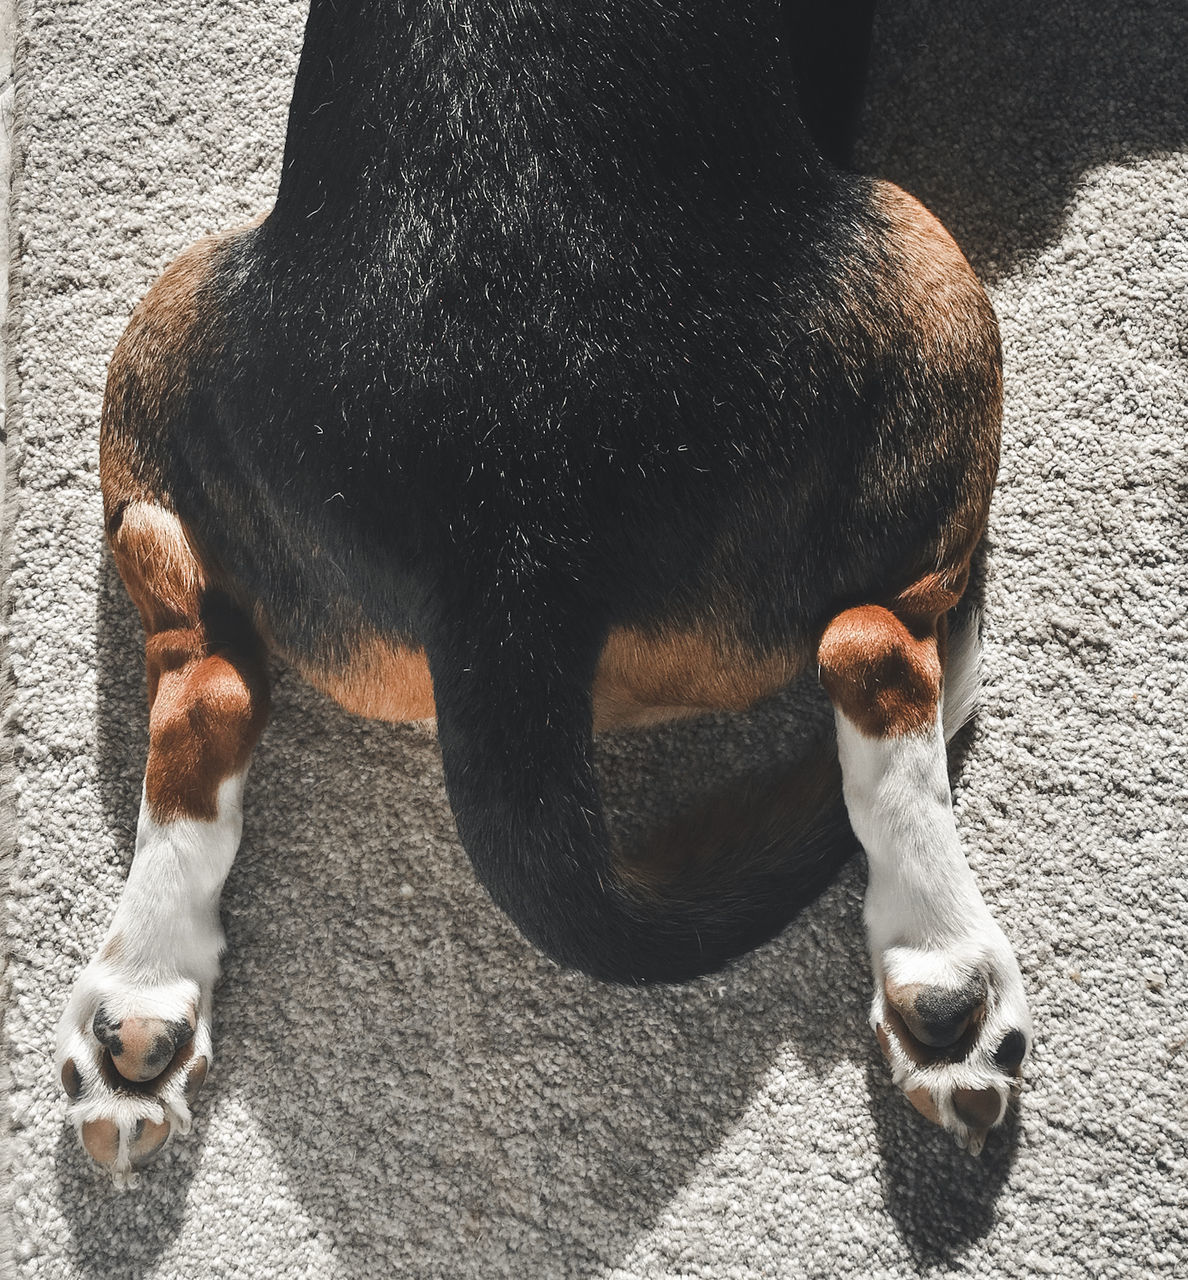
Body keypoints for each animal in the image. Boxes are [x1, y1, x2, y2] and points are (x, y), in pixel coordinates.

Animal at [55, 0, 1029, 1182]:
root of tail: (511, 544)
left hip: (166, 331)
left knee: (206, 686)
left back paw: (146, 989)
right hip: (925, 262)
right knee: (873, 646)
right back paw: (941, 968)